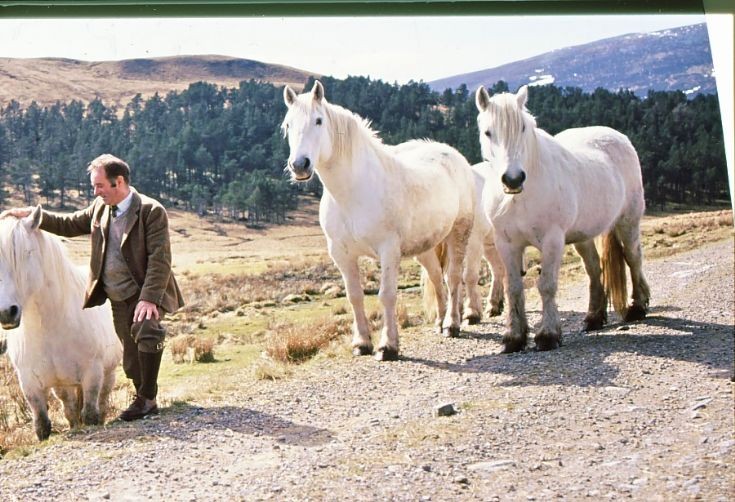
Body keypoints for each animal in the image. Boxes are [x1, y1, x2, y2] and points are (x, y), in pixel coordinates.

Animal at [0, 207, 121, 440]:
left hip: (108, 373)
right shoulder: (30, 384)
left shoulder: (92, 374)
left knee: (101, 402)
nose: (5, 313)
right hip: (62, 384)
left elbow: (90, 415)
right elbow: (42, 426)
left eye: (26, 253)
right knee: (70, 407)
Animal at [282, 79, 478, 360]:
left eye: (318, 121)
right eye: (288, 125)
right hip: (425, 248)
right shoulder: (341, 254)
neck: (353, 192)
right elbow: (354, 296)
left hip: (459, 233)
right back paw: (440, 322)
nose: (299, 165)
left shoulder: (388, 250)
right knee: (436, 278)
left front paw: (388, 346)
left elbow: (387, 295)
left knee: (452, 277)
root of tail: (451, 153)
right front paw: (361, 343)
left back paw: (452, 325)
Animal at [478, 85, 648, 352]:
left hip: (628, 222)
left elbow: (546, 285)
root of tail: (619, 137)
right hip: (583, 237)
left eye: (523, 128)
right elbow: (513, 288)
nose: (513, 179)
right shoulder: (507, 244)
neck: (521, 196)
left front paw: (548, 335)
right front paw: (514, 337)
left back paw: (638, 308)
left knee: (633, 259)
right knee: (594, 269)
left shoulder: (552, 240)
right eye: (488, 132)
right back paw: (594, 318)